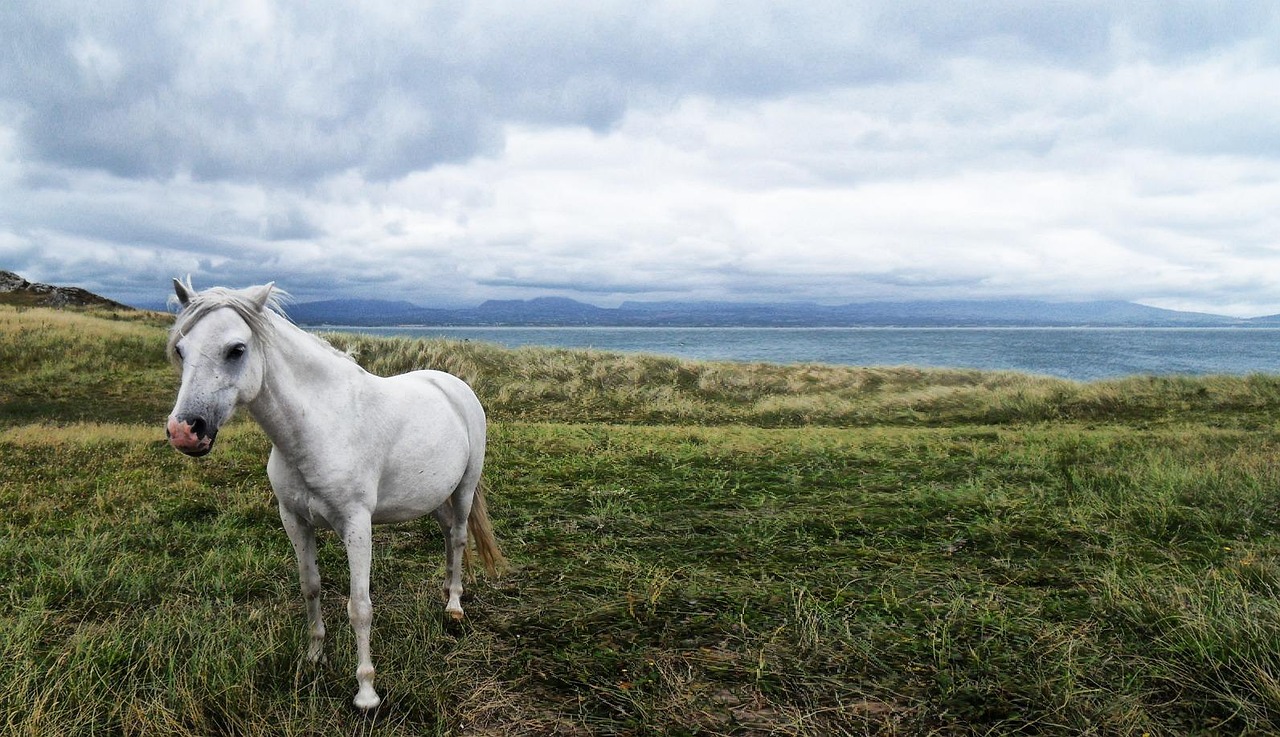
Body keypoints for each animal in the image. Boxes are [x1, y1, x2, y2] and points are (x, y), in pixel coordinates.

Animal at [168, 278, 504, 711]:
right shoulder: (294, 520)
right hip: (432, 497)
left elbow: (359, 606)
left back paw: (454, 606)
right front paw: (314, 657)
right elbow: (310, 586)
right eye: (181, 349)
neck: (321, 427)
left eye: (236, 349)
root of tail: (454, 385)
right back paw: (446, 593)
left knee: (460, 537)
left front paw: (366, 692)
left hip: (464, 488)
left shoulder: (357, 525)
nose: (184, 431)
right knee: (447, 534)